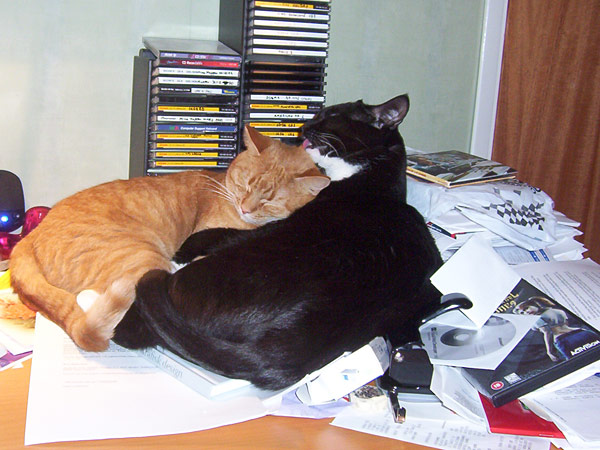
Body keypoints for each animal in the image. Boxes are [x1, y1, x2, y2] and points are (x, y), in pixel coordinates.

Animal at [112, 94, 444, 390]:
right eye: (320, 112)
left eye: (333, 114)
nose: (306, 124)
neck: (375, 176)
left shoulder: (271, 224)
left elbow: (218, 233)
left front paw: (186, 247)